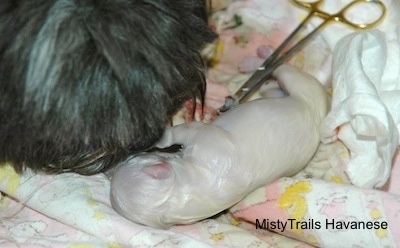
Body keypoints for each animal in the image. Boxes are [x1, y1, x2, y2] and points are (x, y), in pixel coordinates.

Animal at [109, 64, 328, 229]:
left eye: (135, 159)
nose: (128, 156)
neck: (178, 195)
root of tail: (317, 115)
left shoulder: (202, 138)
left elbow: (181, 131)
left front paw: (159, 140)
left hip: (298, 85)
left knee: (285, 71)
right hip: (294, 94)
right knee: (276, 87)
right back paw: (263, 84)